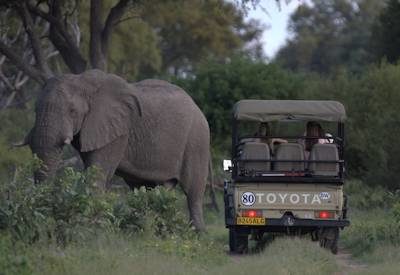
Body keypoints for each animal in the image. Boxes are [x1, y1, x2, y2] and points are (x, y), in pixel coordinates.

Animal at [20, 70, 212, 232]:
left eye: (72, 111)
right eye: (35, 109)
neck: (83, 82)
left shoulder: (118, 132)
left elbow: (97, 174)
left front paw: (91, 226)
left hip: (197, 140)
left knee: (193, 192)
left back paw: (197, 235)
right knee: (151, 188)